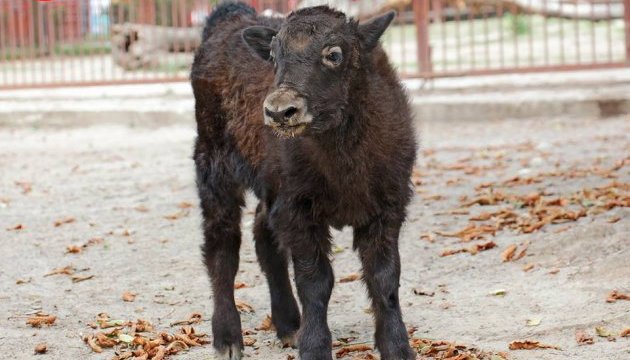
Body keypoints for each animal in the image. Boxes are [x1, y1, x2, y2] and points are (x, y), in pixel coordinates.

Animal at [193, 1, 420, 358]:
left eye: (334, 54)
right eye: (273, 55)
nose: (279, 111)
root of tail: (228, 17)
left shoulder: (387, 209)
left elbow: (384, 278)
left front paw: (398, 348)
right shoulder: (298, 212)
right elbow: (315, 282)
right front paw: (314, 347)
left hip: (267, 186)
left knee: (262, 235)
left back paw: (288, 324)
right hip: (215, 168)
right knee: (222, 245)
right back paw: (227, 338)